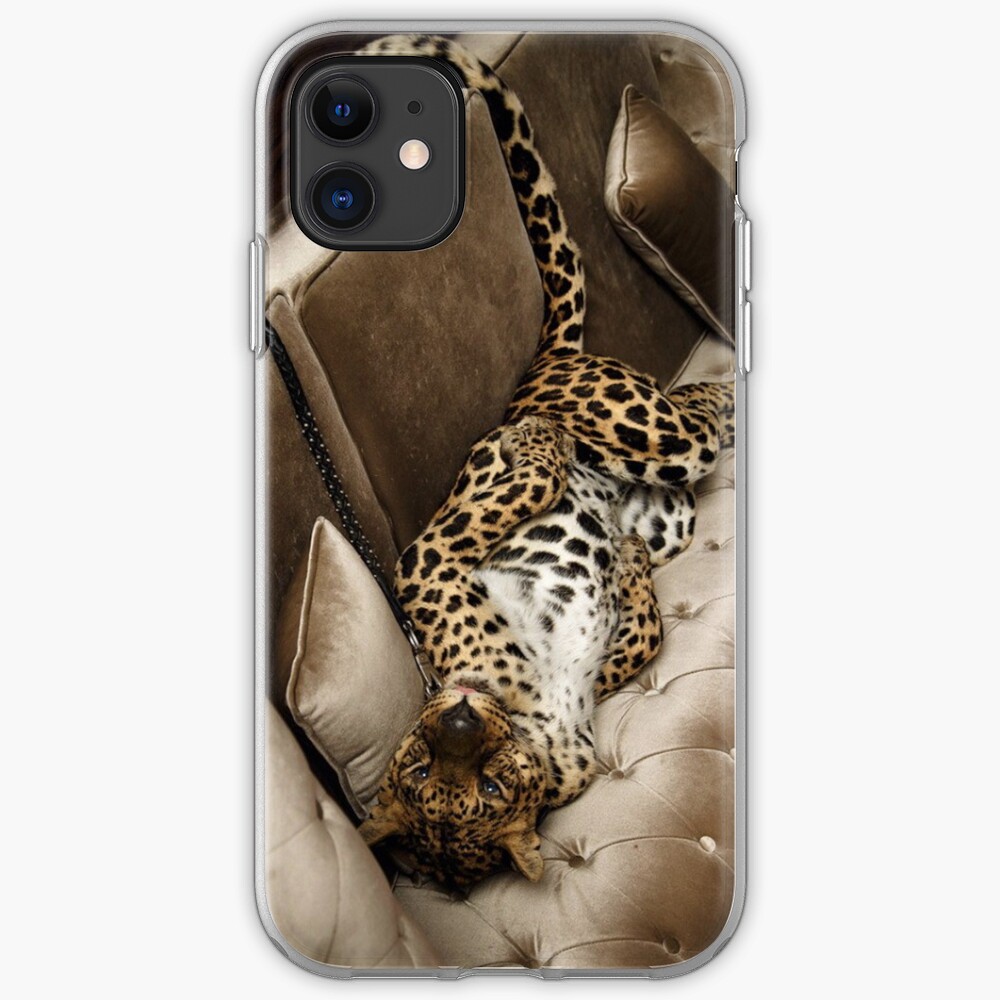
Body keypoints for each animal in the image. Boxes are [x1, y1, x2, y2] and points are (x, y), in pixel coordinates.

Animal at [355, 35, 735, 887]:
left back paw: (551, 431)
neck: (536, 728)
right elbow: (643, 635)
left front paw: (534, 450)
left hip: (644, 426)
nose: (460, 715)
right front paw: (623, 570)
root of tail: (543, 364)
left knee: (705, 403)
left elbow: (497, 502)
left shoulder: (424, 563)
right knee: (708, 414)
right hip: (669, 501)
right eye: (426, 773)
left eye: (480, 781)